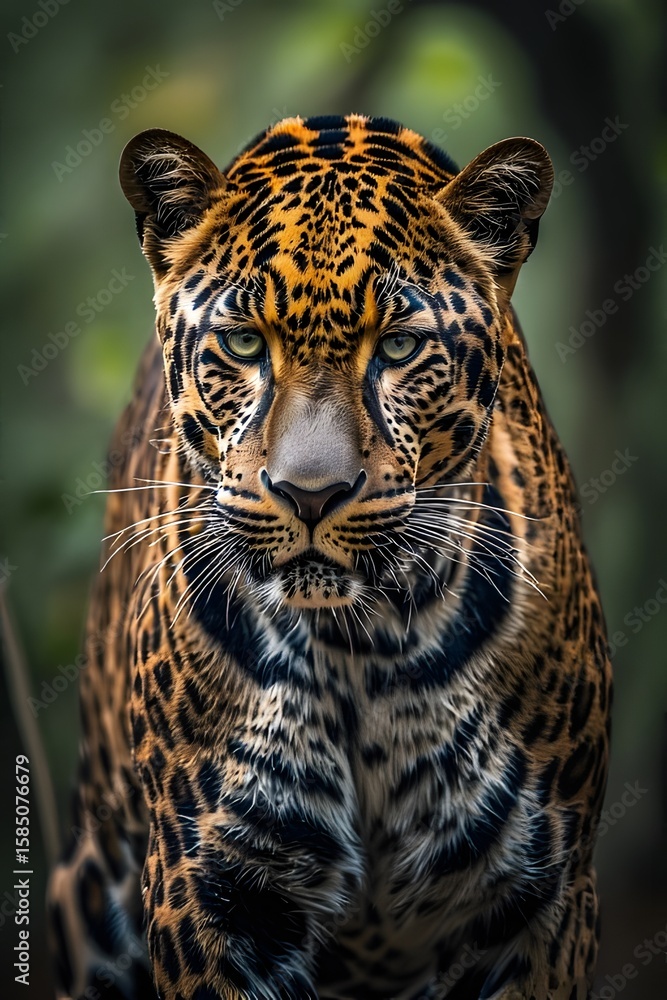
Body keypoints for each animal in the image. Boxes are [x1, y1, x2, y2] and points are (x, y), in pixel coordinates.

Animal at [47, 113, 612, 1000]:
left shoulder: (539, 896)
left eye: (401, 347)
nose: (311, 494)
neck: (361, 645)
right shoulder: (212, 888)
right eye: (244, 343)